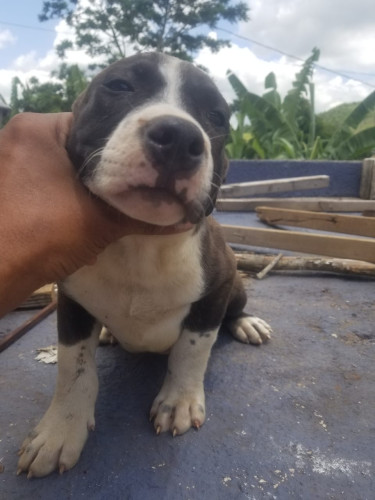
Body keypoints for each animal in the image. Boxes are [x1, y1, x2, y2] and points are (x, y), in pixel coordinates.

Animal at [17, 52, 272, 478]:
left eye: (217, 117)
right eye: (119, 86)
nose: (180, 138)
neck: (139, 245)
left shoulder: (216, 287)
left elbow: (192, 349)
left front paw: (178, 401)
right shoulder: (70, 300)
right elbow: (74, 367)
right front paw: (60, 429)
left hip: (235, 286)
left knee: (235, 309)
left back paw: (245, 322)